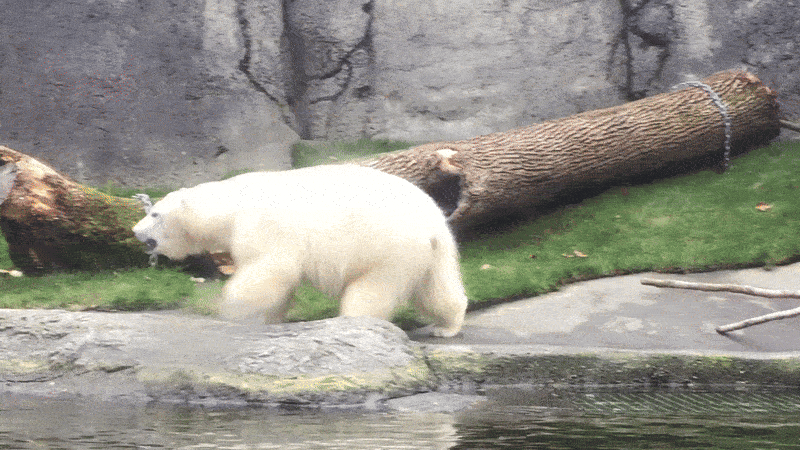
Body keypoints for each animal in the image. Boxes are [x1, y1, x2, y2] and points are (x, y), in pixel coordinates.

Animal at [131, 164, 468, 337]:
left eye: (155, 214)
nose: (135, 231)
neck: (232, 203)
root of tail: (434, 221)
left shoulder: (263, 224)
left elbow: (270, 269)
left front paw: (228, 309)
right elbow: (280, 283)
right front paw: (269, 317)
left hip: (387, 246)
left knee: (372, 289)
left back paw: (352, 321)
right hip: (429, 252)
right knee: (436, 288)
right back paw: (446, 326)